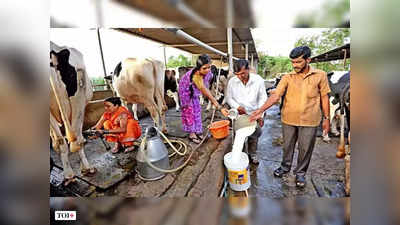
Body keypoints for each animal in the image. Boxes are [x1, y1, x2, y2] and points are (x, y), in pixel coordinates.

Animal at [49, 41, 95, 185]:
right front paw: (86, 168)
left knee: (61, 142)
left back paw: (68, 174)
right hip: (78, 99)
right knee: (76, 139)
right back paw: (85, 169)